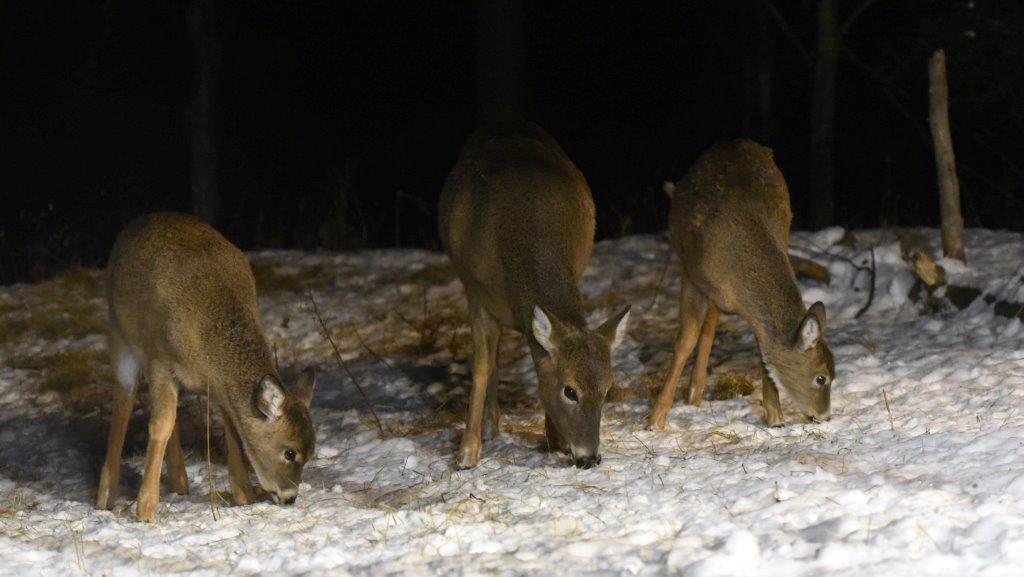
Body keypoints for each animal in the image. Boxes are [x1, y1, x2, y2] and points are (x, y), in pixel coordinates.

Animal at [96, 212, 316, 522]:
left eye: (311, 453)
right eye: (290, 452)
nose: (290, 497)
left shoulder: (218, 385)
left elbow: (231, 427)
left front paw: (244, 496)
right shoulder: (160, 360)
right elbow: (160, 425)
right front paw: (146, 509)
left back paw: (179, 481)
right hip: (120, 336)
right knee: (124, 405)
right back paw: (105, 497)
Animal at [438, 122, 630, 470]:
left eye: (607, 390)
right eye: (570, 391)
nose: (590, 457)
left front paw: (554, 438)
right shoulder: (475, 291)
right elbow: (481, 366)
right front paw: (466, 453)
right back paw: (490, 425)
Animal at [648, 140, 834, 430]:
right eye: (821, 378)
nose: (825, 416)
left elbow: (761, 348)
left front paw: (774, 415)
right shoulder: (691, 274)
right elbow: (686, 339)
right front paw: (655, 419)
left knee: (712, 322)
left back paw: (695, 390)